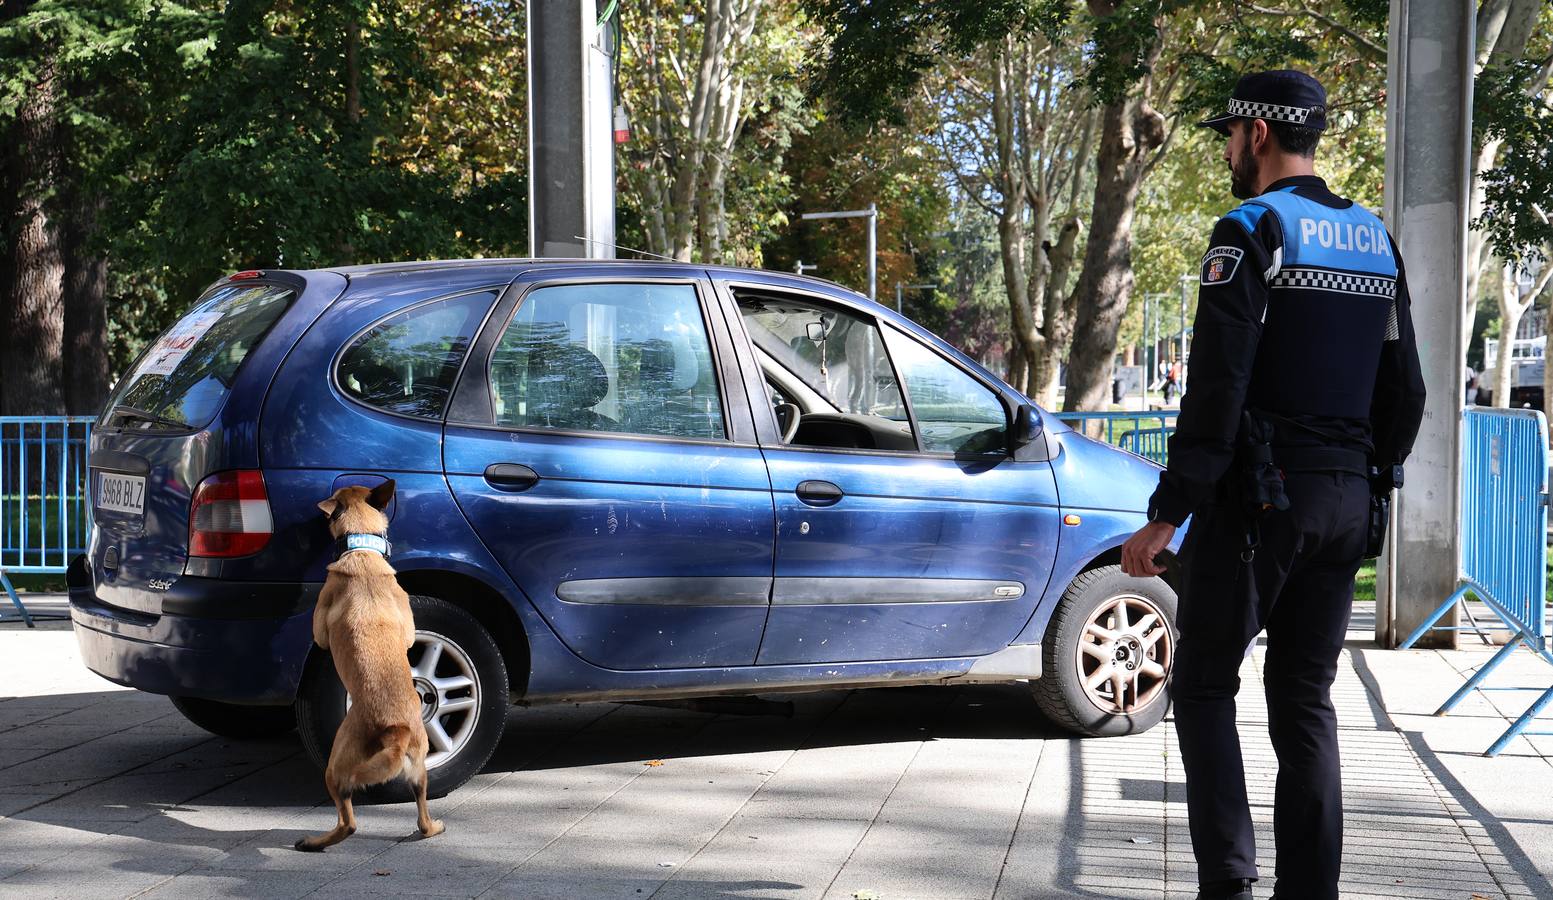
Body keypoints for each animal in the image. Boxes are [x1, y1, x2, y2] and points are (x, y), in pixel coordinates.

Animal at [295, 481, 444, 850]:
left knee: (348, 821)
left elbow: (319, 632)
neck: (361, 551)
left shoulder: (320, 627)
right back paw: (434, 827)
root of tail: (396, 730)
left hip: (337, 763)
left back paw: (315, 841)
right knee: (421, 815)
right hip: (419, 770)